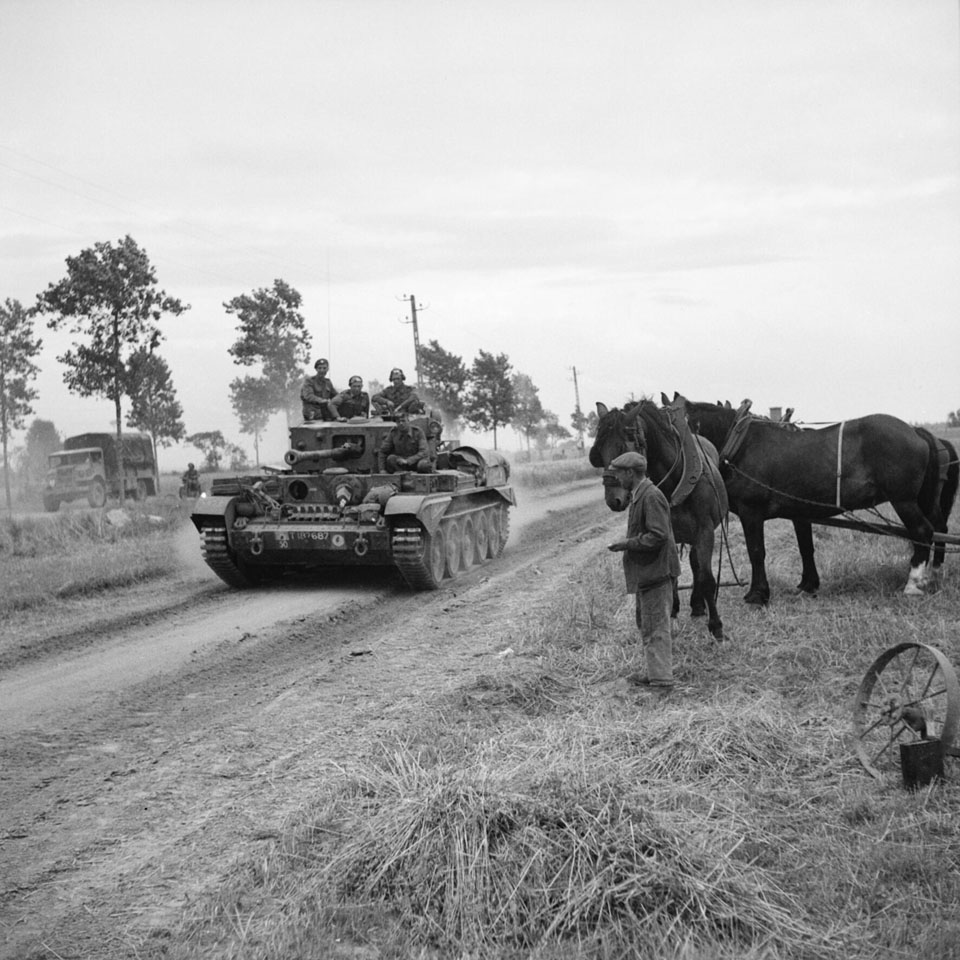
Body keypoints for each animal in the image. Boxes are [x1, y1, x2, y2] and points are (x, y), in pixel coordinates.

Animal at [588, 402, 732, 640]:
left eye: (624, 449)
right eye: (599, 452)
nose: (613, 500)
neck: (676, 480)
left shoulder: (705, 531)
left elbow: (707, 577)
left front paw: (716, 626)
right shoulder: (666, 531)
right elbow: (670, 575)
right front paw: (671, 612)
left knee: (696, 564)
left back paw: (698, 605)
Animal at [676, 394, 944, 604]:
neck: (742, 444)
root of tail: (915, 431)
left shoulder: (751, 512)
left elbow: (756, 551)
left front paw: (758, 594)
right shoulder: (800, 512)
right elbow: (806, 548)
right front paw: (808, 585)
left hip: (903, 500)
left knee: (922, 531)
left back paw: (913, 584)